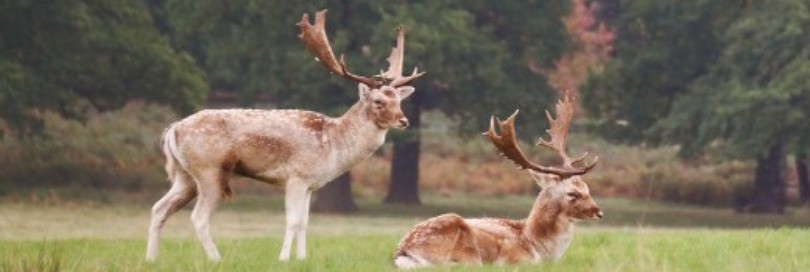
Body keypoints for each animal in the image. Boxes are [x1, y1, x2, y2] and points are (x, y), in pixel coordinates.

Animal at [146, 9, 422, 262]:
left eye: (398, 100)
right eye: (378, 101)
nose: (404, 120)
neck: (333, 144)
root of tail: (173, 129)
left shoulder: (310, 184)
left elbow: (305, 222)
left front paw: (301, 258)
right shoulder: (296, 176)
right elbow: (292, 220)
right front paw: (283, 258)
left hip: (185, 175)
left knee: (159, 208)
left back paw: (151, 259)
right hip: (209, 170)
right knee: (199, 218)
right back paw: (216, 259)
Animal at [392, 95, 600, 268]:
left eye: (587, 188)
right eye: (572, 193)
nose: (599, 212)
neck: (537, 245)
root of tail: (403, 253)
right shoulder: (514, 259)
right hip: (466, 252)